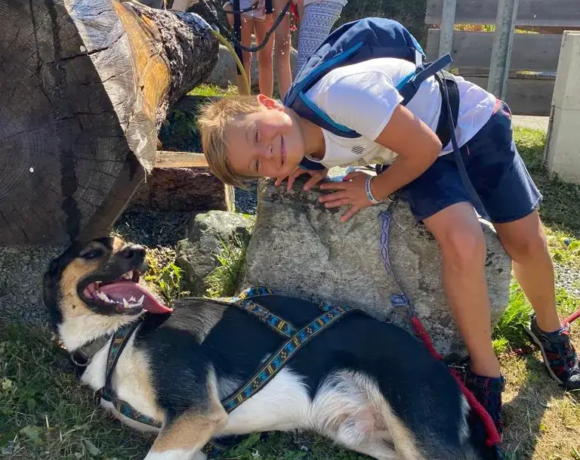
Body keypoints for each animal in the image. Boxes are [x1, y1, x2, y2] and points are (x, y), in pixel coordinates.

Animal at [44, 237, 498, 460]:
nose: (139, 252)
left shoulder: (196, 414)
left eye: (124, 242)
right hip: (361, 436)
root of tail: (449, 374)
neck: (121, 335)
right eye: (91, 253)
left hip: (419, 435)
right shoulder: (187, 436)